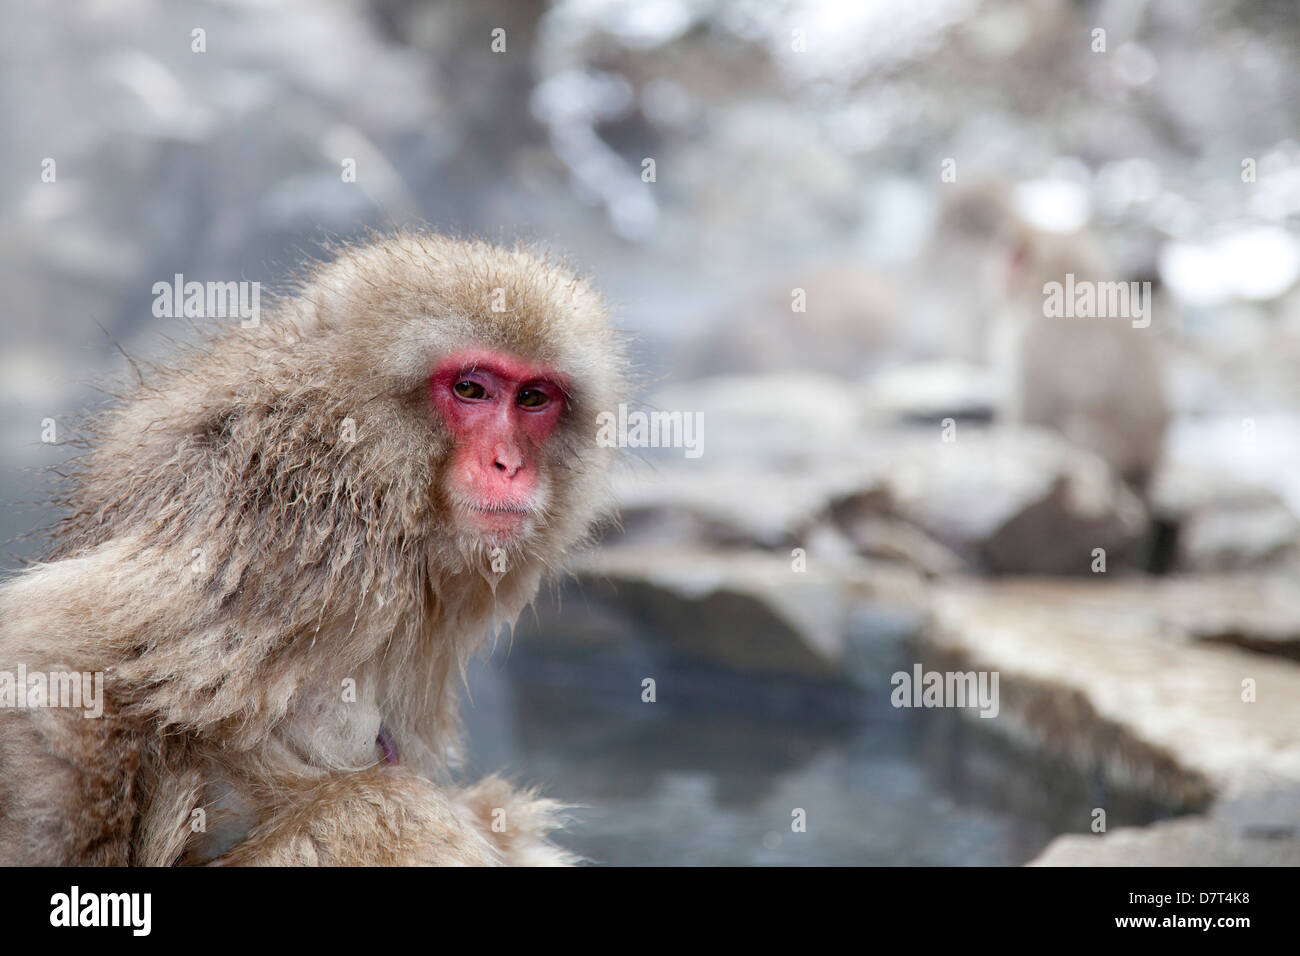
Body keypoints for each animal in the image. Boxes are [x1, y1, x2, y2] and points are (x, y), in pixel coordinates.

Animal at [0, 232, 625, 865]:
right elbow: (52, 658)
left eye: (533, 398)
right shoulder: (300, 527)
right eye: (471, 389)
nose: (509, 464)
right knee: (394, 810)